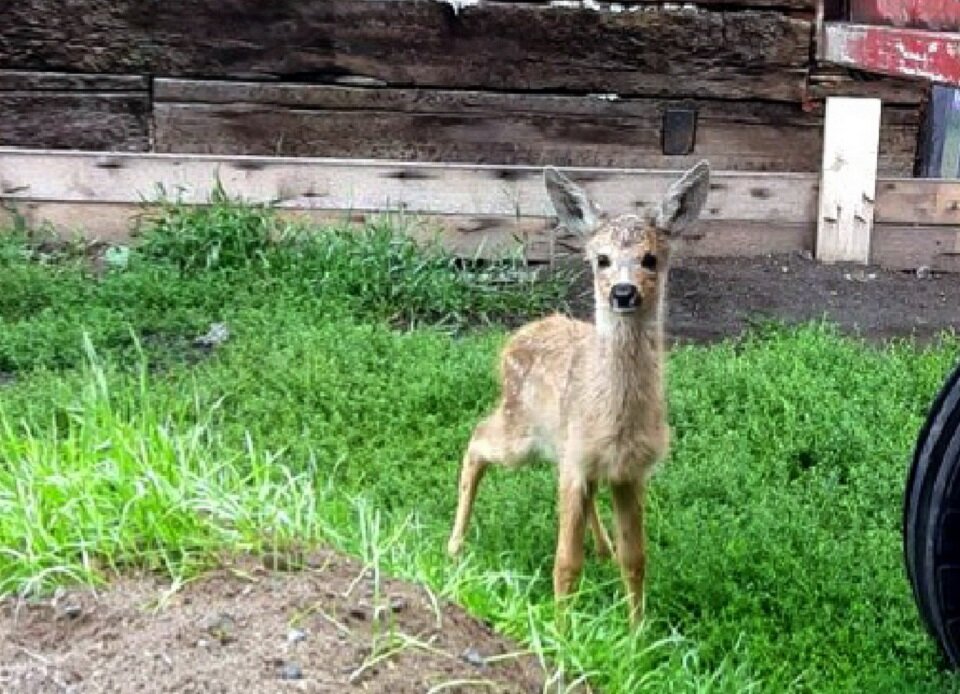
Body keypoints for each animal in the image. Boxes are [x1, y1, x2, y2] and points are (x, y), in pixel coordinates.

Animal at [446, 160, 708, 628]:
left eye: (650, 258)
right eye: (601, 259)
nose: (623, 292)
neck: (616, 419)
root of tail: (515, 338)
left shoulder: (628, 471)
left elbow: (636, 559)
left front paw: (637, 633)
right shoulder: (577, 463)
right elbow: (566, 561)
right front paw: (562, 631)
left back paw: (603, 548)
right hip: (522, 430)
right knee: (477, 439)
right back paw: (454, 546)